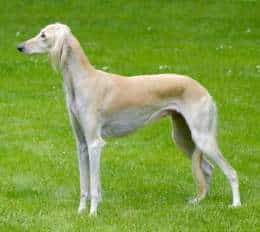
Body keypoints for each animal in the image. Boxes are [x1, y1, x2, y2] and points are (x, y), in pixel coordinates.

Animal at [17, 23, 242, 216]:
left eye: (43, 35)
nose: (20, 47)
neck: (83, 80)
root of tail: (204, 90)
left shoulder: (95, 143)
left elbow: (94, 185)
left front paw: (93, 213)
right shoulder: (82, 145)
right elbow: (84, 185)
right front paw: (81, 212)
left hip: (202, 137)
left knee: (231, 172)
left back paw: (236, 204)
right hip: (183, 137)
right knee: (208, 169)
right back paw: (199, 201)